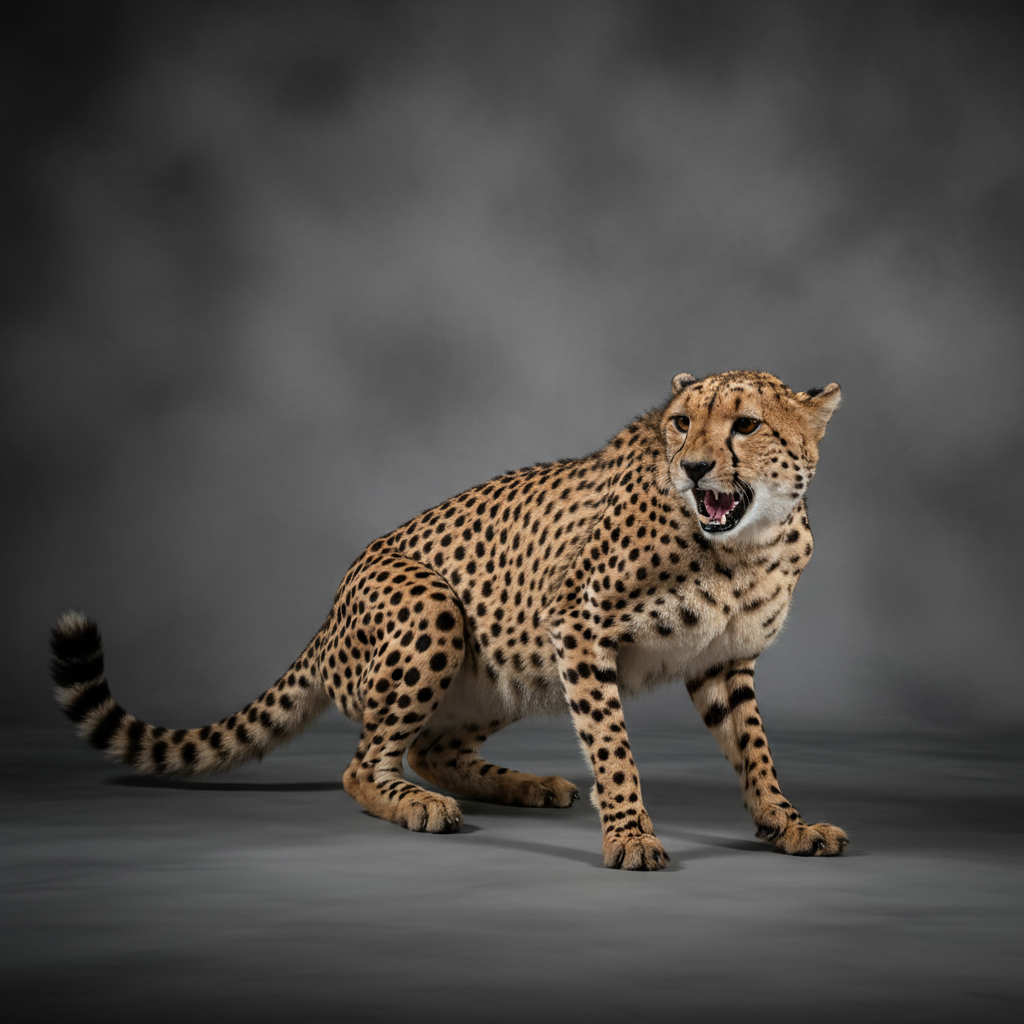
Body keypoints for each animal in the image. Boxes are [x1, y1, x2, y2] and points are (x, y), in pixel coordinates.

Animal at [50, 369, 848, 870]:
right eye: (680, 424)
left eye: (745, 425)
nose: (693, 467)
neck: (745, 545)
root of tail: (329, 609)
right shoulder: (576, 625)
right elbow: (613, 746)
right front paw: (628, 834)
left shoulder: (722, 659)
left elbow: (754, 749)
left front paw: (786, 824)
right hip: (436, 611)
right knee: (364, 764)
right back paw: (420, 806)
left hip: (510, 668)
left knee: (432, 747)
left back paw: (525, 785)